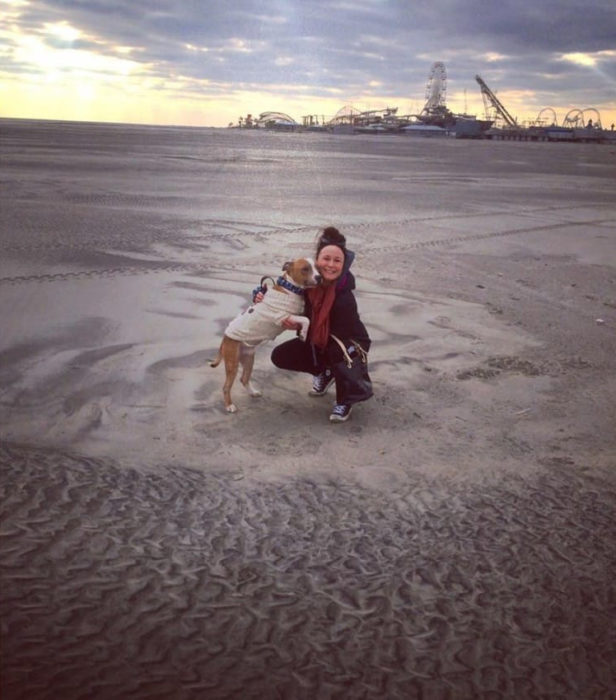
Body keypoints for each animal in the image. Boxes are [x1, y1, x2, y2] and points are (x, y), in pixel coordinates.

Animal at [211, 256, 318, 410]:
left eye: (317, 267)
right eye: (305, 269)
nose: (320, 277)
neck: (290, 288)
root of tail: (225, 337)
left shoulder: (294, 315)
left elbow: (307, 317)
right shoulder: (283, 317)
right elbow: (306, 319)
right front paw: (304, 333)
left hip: (248, 359)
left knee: (244, 379)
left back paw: (253, 392)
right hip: (232, 363)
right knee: (226, 386)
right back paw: (229, 405)